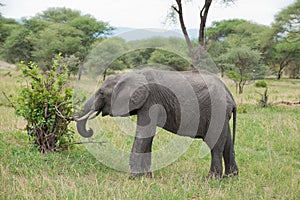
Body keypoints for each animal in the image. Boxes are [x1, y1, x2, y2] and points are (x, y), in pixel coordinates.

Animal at [77, 69, 239, 178]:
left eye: (101, 93)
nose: (90, 130)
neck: (128, 74)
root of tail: (230, 94)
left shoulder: (151, 101)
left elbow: (144, 134)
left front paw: (133, 177)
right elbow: (148, 137)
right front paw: (146, 176)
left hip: (217, 109)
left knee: (215, 145)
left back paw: (211, 179)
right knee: (227, 143)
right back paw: (231, 177)